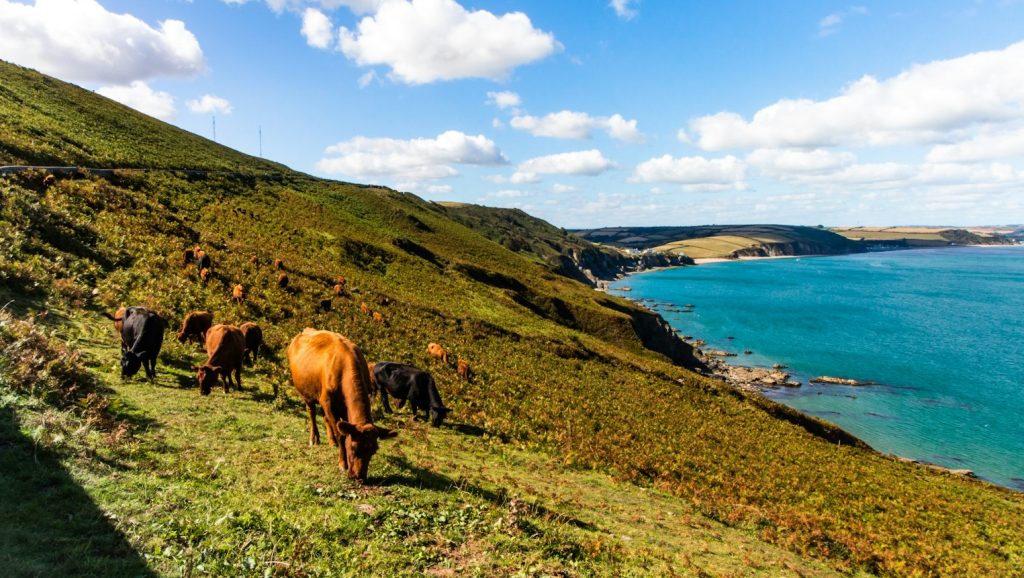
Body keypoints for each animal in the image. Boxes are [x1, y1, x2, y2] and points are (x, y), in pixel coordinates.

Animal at [292, 327, 399, 481]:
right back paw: (314, 438)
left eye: (373, 451)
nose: (359, 477)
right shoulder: (328, 403)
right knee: (311, 413)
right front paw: (342, 463)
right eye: (353, 448)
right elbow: (341, 434)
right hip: (306, 394)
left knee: (325, 418)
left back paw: (331, 441)